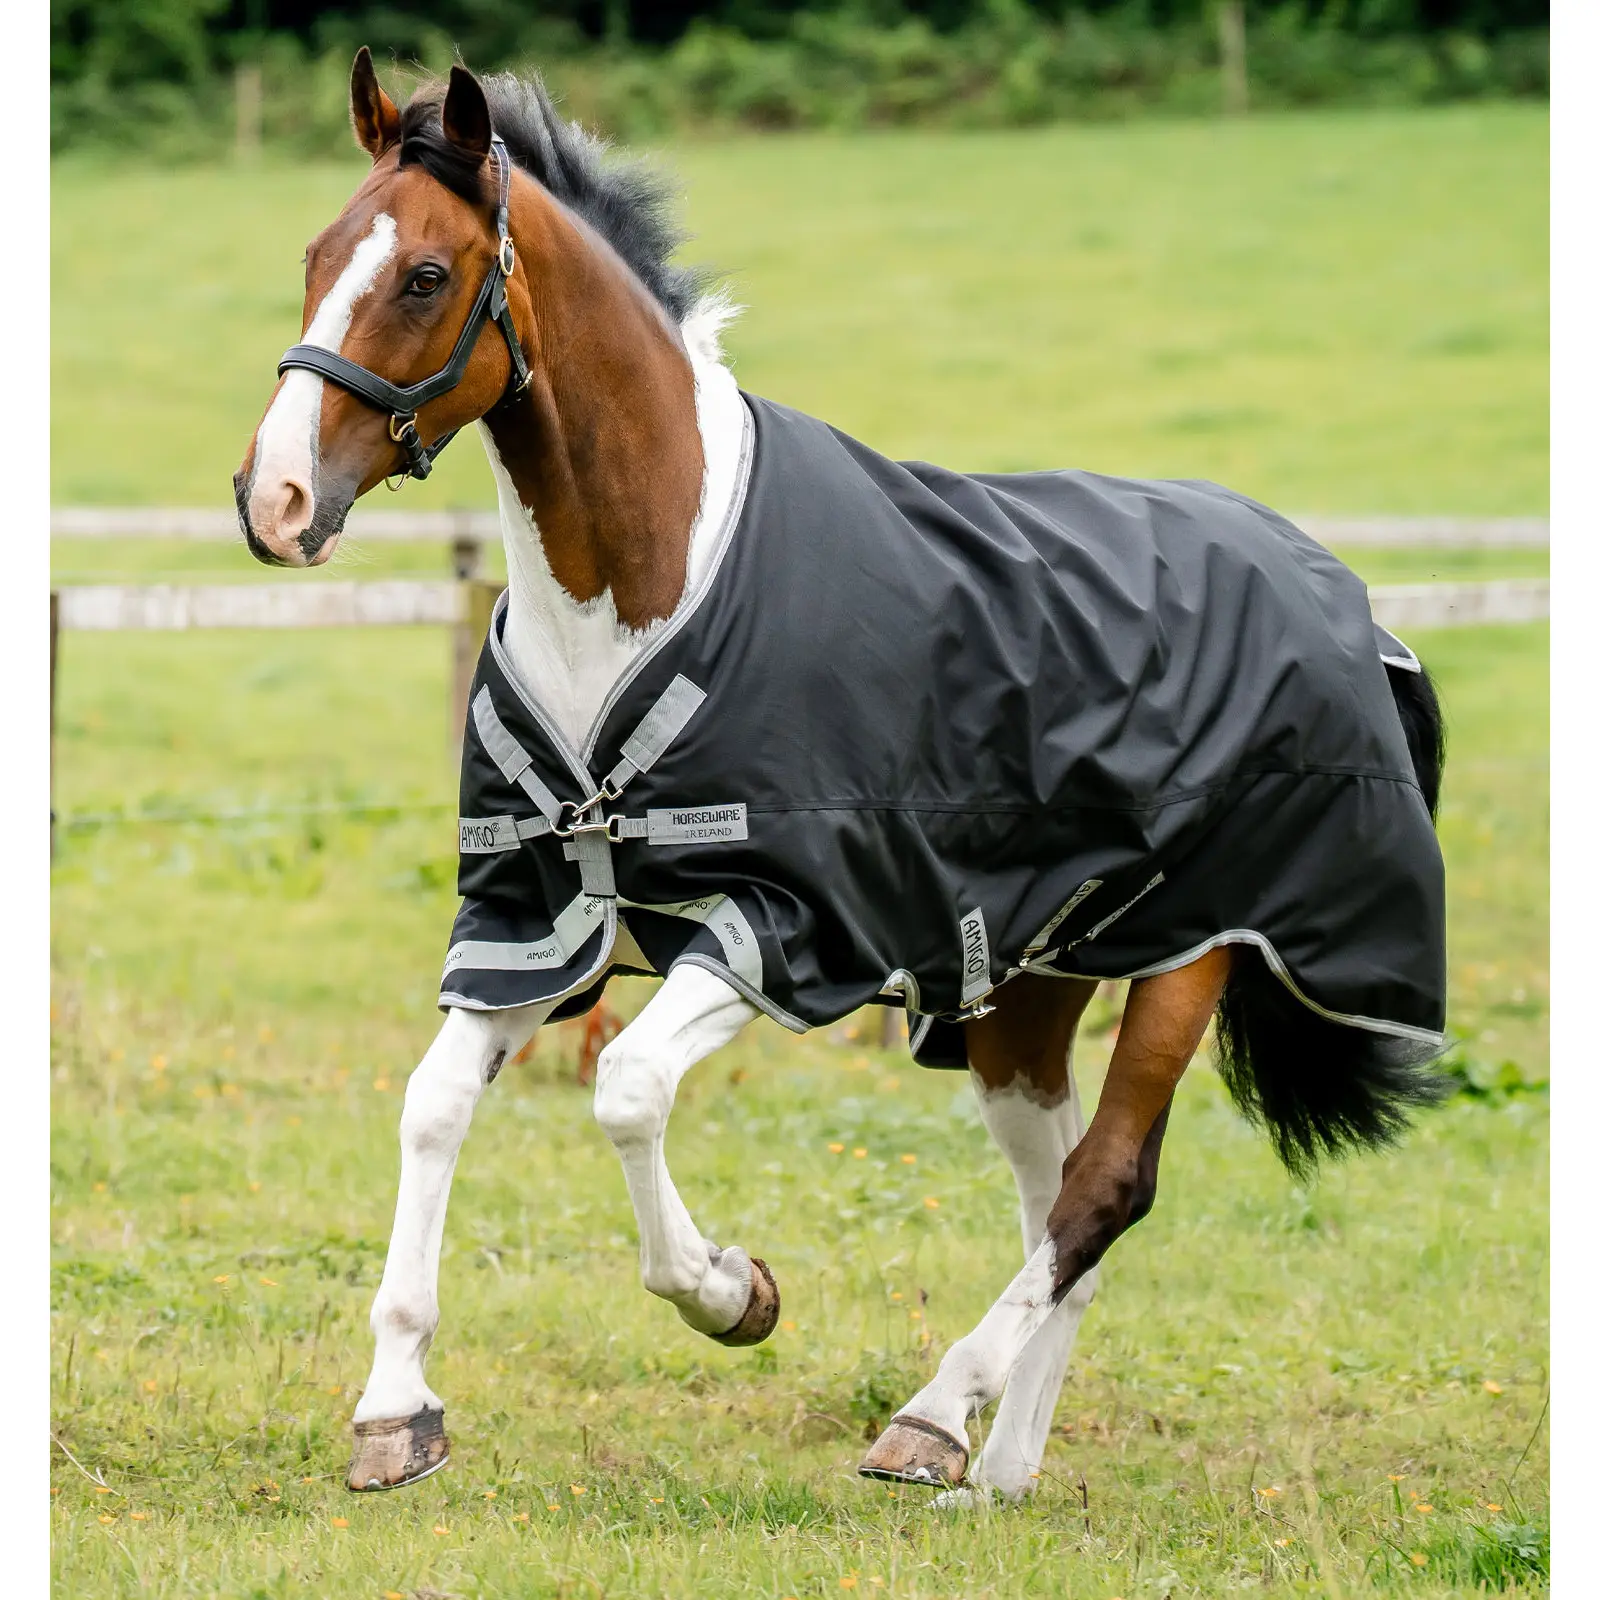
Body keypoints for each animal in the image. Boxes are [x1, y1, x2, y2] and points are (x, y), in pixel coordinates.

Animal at [233, 51, 1449, 1502]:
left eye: (422, 275)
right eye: (315, 256)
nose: (274, 501)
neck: (642, 587)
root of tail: (1343, 595)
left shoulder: (782, 924)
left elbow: (627, 1089)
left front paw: (730, 1291)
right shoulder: (537, 921)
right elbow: (432, 1107)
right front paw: (395, 1411)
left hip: (1194, 953)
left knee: (1105, 1187)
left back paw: (933, 1418)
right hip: (1023, 992)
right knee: (1059, 1209)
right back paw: (997, 1470)